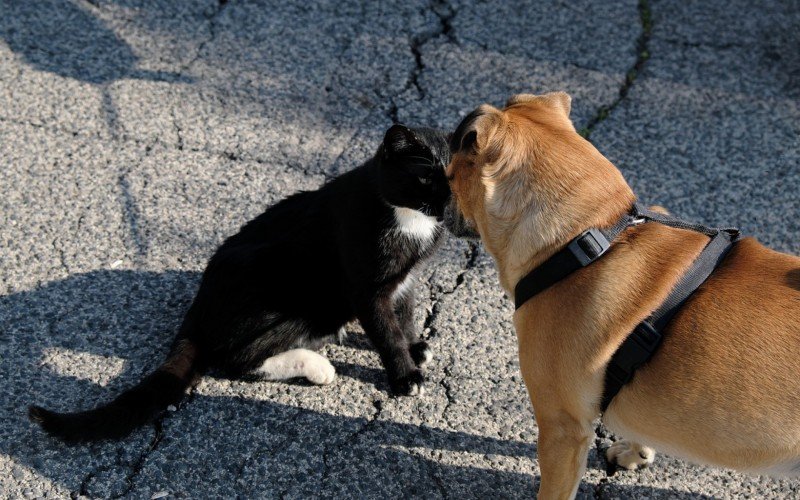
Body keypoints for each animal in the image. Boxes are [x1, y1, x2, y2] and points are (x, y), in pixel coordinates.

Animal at [29, 125, 450, 442]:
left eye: (455, 177)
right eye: (425, 176)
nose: (447, 202)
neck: (409, 221)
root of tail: (199, 304)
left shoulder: (407, 279)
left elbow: (404, 314)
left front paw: (415, 346)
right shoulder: (365, 288)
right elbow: (385, 330)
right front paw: (405, 375)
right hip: (288, 288)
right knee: (236, 359)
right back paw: (316, 365)